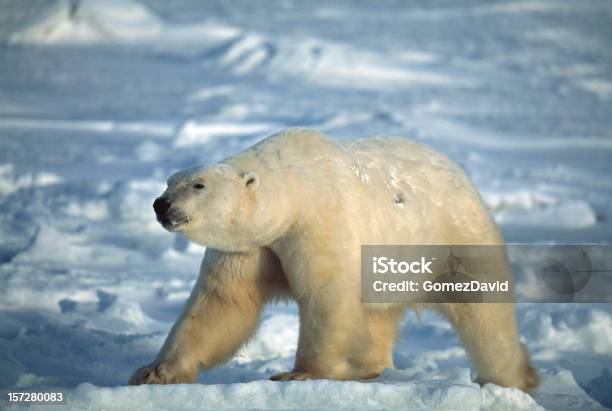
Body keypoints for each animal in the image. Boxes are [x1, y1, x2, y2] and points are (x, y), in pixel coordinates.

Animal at [128, 129, 536, 392]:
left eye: (198, 185)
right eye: (170, 180)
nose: (161, 204)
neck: (296, 188)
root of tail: (463, 176)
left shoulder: (322, 221)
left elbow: (328, 298)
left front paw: (300, 374)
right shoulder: (250, 246)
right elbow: (221, 304)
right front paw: (153, 372)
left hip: (453, 236)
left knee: (484, 315)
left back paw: (512, 379)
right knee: (378, 317)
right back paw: (369, 368)